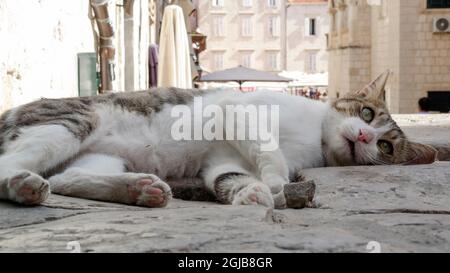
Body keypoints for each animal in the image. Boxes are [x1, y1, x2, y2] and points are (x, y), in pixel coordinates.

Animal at [0, 71, 438, 207]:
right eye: (366, 114)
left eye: (386, 146)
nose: (365, 134)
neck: (313, 139)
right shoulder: (238, 110)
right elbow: (269, 150)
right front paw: (275, 182)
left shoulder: (224, 159)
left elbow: (229, 175)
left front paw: (252, 193)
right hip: (73, 123)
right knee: (11, 167)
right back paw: (22, 185)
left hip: (101, 157)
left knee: (65, 178)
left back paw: (140, 189)